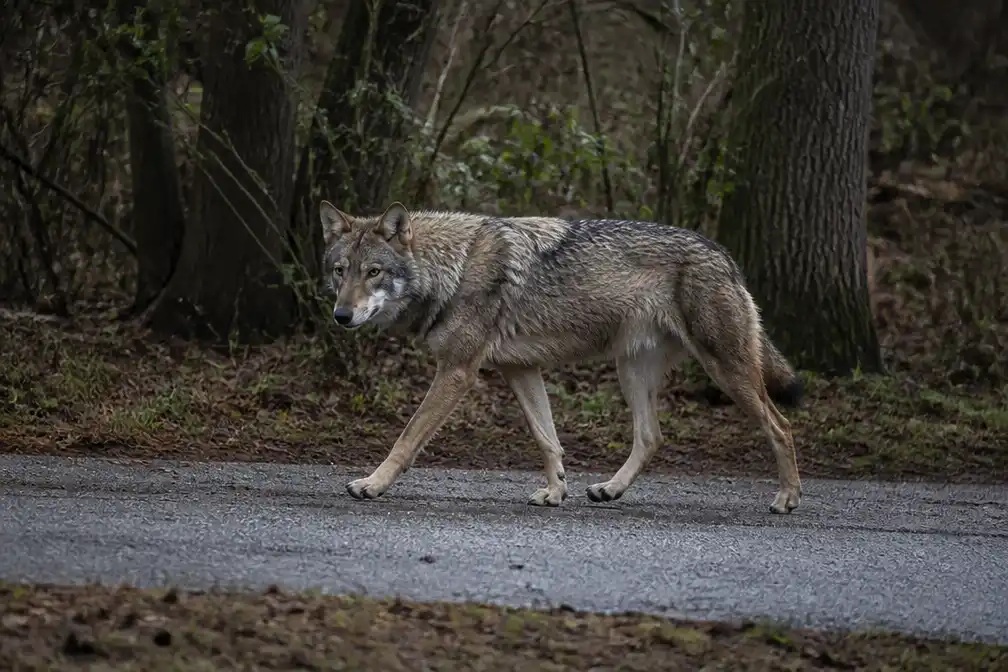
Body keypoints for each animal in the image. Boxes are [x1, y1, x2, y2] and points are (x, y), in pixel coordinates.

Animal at [320, 200, 804, 514]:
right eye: (340, 272)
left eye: (374, 272)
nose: (341, 316)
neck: (451, 270)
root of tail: (724, 255)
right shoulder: (520, 369)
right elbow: (547, 438)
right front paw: (555, 493)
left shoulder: (458, 372)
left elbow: (406, 438)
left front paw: (371, 484)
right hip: (631, 372)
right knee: (651, 437)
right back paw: (609, 490)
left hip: (725, 371)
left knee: (781, 425)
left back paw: (788, 498)